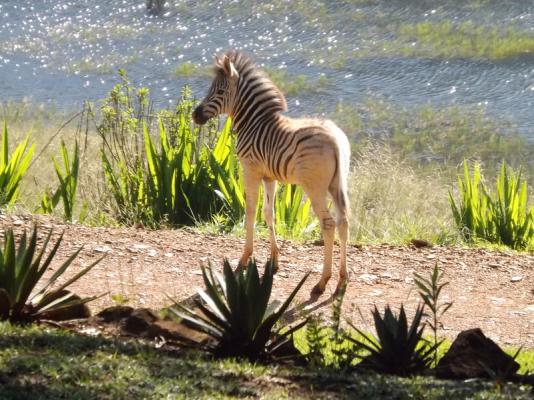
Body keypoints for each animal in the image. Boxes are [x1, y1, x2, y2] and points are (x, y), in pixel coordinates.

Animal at [193, 50, 352, 296]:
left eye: (219, 92)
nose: (195, 115)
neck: (254, 123)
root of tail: (334, 137)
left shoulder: (250, 169)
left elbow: (250, 211)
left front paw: (244, 259)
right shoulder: (270, 176)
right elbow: (269, 213)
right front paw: (274, 261)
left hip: (314, 187)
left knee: (329, 224)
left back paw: (322, 282)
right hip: (337, 184)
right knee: (343, 222)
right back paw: (342, 280)